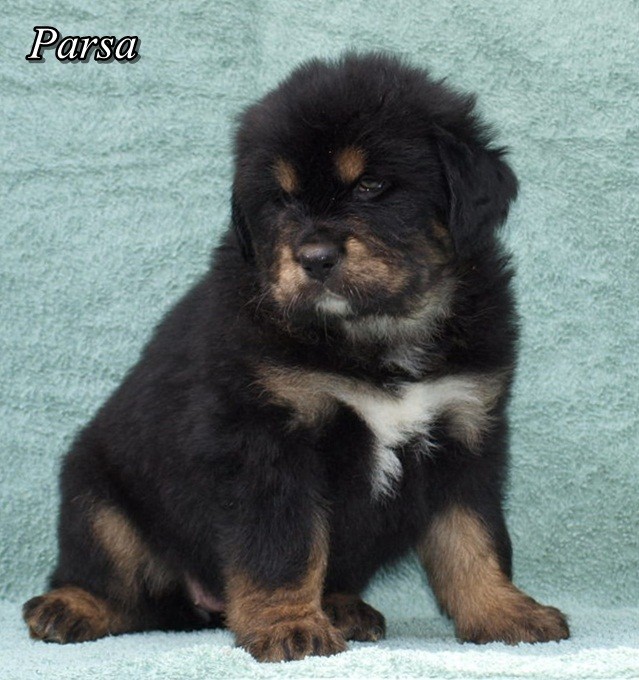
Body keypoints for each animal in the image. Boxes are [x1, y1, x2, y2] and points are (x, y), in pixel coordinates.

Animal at [23, 52, 569, 662]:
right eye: (281, 199)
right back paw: (68, 608)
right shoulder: (268, 436)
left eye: (372, 185)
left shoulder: (468, 430)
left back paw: (346, 608)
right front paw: (289, 627)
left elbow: (474, 538)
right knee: (115, 585)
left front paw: (503, 612)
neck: (377, 334)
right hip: (95, 496)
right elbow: (283, 545)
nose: (315, 257)